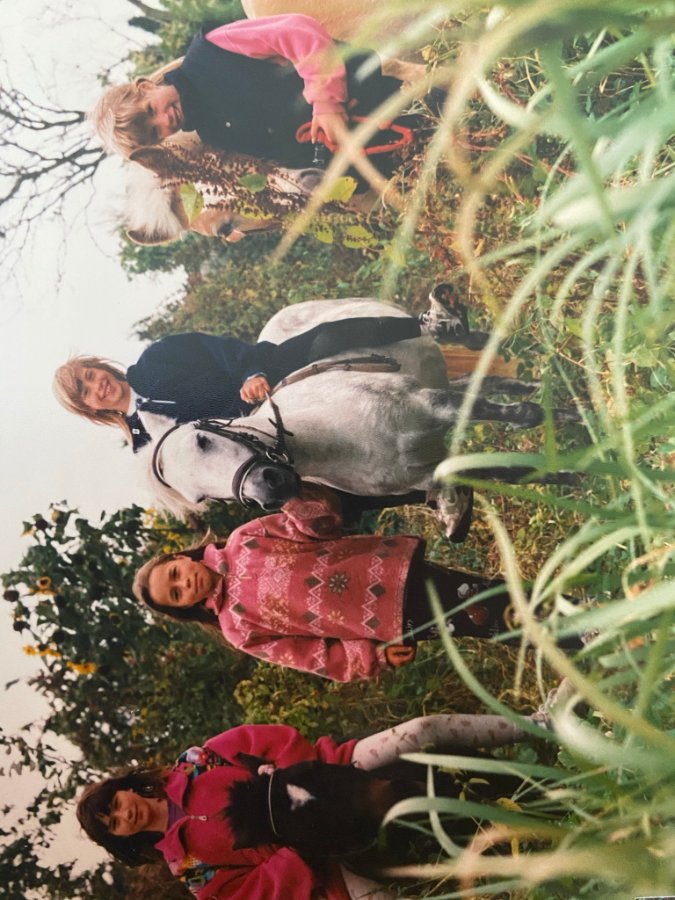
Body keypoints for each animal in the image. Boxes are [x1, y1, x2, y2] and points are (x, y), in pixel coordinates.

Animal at [137, 297, 580, 515]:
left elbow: (525, 415)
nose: (269, 487)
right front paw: (581, 478)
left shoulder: (433, 404)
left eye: (202, 440)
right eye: (200, 497)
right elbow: (523, 471)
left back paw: (453, 322)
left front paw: (582, 428)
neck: (338, 439)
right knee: (490, 380)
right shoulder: (434, 470)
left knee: (462, 341)